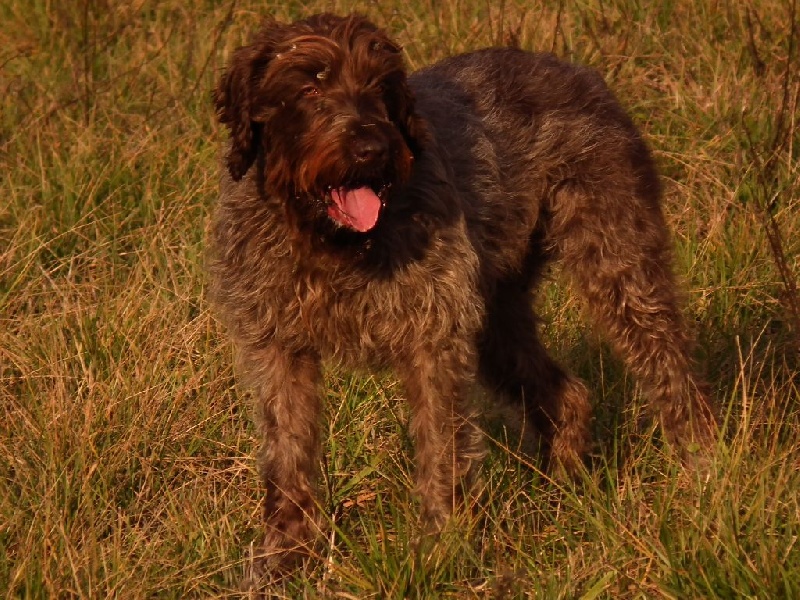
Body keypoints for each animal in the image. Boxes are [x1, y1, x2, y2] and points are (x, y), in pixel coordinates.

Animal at [208, 12, 720, 576]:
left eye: (379, 87)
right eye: (309, 85)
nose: (373, 149)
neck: (335, 243)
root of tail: (575, 70)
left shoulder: (434, 340)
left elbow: (442, 446)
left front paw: (442, 549)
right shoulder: (279, 352)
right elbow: (288, 457)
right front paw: (286, 557)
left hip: (620, 270)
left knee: (670, 372)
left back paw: (701, 471)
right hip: (498, 320)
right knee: (566, 394)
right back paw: (567, 488)